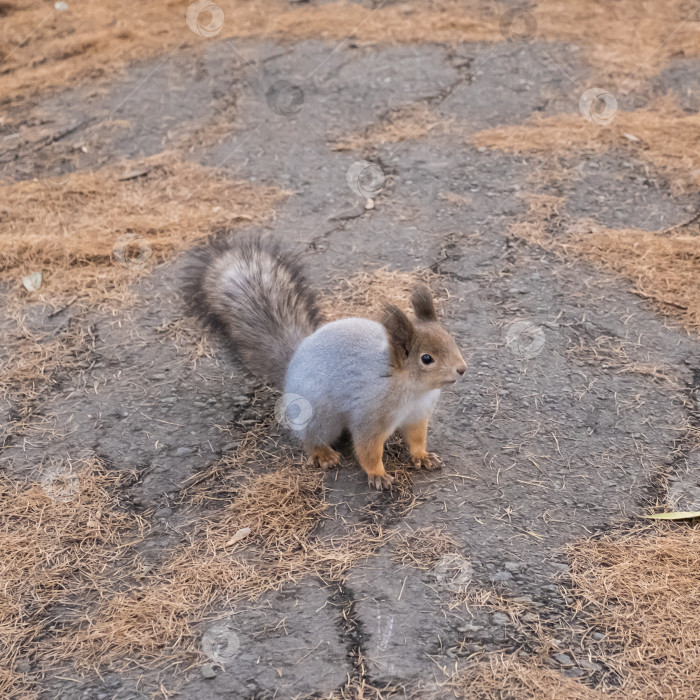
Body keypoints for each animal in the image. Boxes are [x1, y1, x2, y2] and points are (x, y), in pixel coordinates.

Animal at [186, 232, 464, 490]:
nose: (462, 369)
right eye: (426, 358)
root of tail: (293, 361)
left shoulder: (417, 415)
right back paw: (322, 454)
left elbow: (416, 438)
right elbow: (367, 449)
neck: (412, 388)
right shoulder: (369, 416)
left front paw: (422, 456)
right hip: (319, 415)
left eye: (452, 340)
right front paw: (378, 474)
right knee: (310, 437)